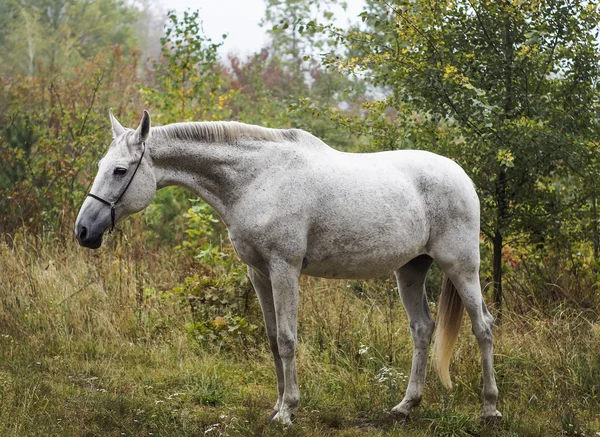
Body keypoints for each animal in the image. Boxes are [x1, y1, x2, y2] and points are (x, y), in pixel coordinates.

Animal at [75, 110, 502, 424]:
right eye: (101, 164)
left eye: (119, 170)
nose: (84, 230)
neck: (257, 179)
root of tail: (462, 176)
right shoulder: (259, 273)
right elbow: (270, 340)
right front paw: (277, 405)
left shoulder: (284, 269)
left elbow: (286, 339)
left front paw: (288, 411)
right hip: (410, 270)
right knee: (422, 329)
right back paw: (405, 406)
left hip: (461, 266)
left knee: (482, 326)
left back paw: (490, 408)